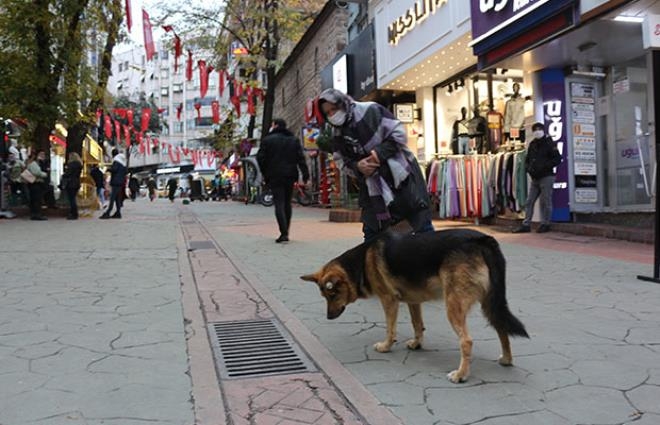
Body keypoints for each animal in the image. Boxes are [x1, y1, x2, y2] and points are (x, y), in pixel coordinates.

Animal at [302, 227, 528, 382]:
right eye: (325, 296)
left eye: (332, 295)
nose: (329, 317)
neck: (361, 262)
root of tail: (483, 240)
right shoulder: (413, 301)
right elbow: (417, 324)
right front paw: (417, 343)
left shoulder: (389, 301)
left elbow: (390, 329)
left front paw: (386, 346)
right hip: (490, 303)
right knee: (501, 327)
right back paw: (506, 359)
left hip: (453, 306)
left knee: (466, 341)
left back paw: (461, 374)